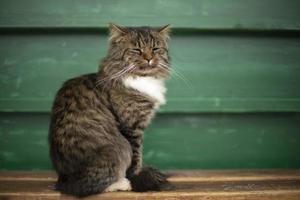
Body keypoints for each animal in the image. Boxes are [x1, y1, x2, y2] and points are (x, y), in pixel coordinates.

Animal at [48, 23, 171, 197]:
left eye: (154, 49)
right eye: (136, 50)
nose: (149, 58)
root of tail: (65, 181)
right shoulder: (132, 127)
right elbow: (137, 158)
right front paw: (135, 177)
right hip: (119, 147)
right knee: (90, 186)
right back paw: (123, 183)